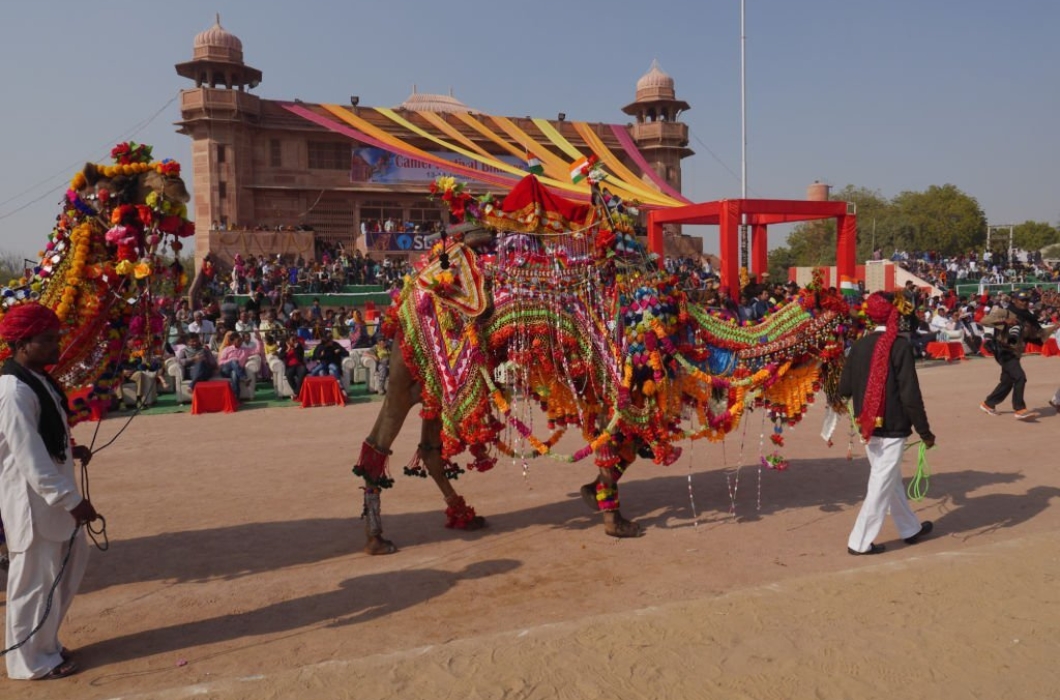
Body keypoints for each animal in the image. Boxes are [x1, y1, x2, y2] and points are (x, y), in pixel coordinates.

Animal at [351, 171, 847, 555]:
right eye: (841, 321)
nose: (858, 319)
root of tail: (415, 275)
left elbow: (626, 442)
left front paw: (593, 493)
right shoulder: (622, 369)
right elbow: (621, 437)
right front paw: (616, 519)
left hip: (435, 373)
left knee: (431, 447)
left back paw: (461, 515)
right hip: (418, 361)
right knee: (382, 437)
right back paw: (378, 538)